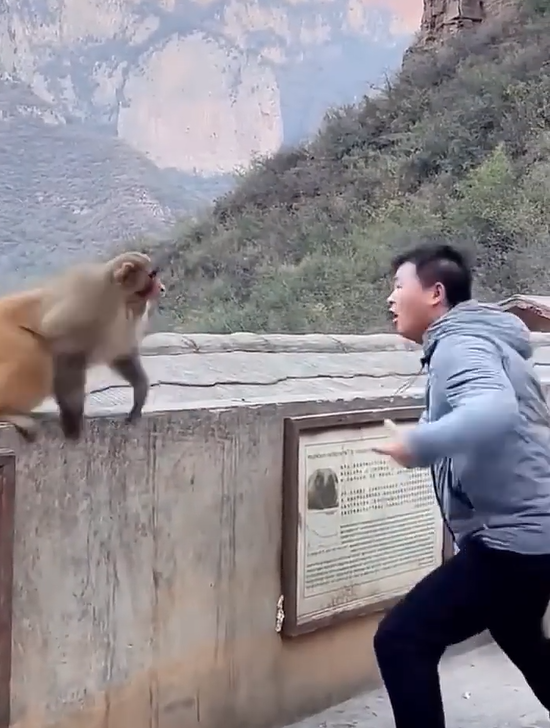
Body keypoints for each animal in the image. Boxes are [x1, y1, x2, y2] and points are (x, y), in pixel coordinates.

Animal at [0, 251, 164, 442]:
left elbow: (121, 355)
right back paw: (7, 412)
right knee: (35, 355)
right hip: (6, 334)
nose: (162, 287)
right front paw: (73, 419)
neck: (122, 297)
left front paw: (140, 392)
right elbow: (67, 353)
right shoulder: (89, 305)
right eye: (152, 275)